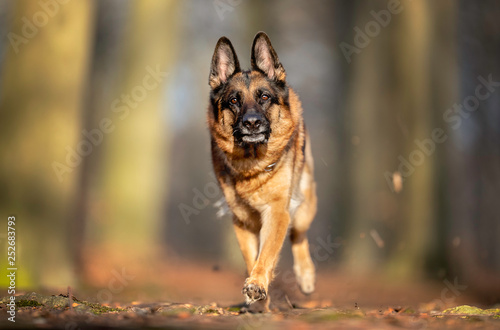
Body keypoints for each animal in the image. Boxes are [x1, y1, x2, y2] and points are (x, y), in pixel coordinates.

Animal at [207, 31, 316, 312]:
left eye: (264, 97)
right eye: (234, 100)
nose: (252, 123)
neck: (252, 162)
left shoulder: (277, 212)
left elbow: (266, 253)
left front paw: (257, 284)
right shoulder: (242, 220)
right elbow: (252, 257)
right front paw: (257, 297)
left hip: (303, 205)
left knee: (299, 233)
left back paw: (306, 276)